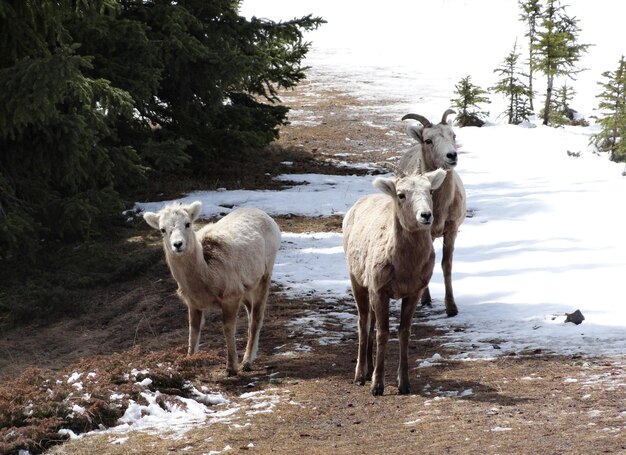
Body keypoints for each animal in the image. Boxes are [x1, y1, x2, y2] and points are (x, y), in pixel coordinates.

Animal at [143, 201, 280, 376]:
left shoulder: (231, 294)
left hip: (266, 274)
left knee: (257, 318)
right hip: (248, 286)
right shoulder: (192, 302)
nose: (177, 244)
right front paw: (188, 360)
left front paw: (231, 367)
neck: (206, 280)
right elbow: (193, 330)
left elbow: (228, 328)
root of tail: (270, 219)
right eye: (162, 229)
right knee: (251, 315)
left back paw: (247, 362)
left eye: (188, 224)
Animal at [342, 168, 448, 396]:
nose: (426, 215)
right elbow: (383, 333)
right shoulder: (380, 289)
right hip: (357, 279)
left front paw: (404, 384)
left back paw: (369, 369)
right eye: (401, 194)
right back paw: (360, 375)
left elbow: (404, 333)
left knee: (370, 320)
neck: (406, 270)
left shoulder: (414, 291)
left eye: (430, 191)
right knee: (363, 321)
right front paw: (377, 386)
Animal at [398, 109, 466, 318]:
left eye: (453, 135)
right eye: (428, 140)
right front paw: (425, 300)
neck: (440, 207)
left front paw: (451, 308)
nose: (452, 155)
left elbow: (446, 264)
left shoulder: (451, 230)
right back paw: (425, 299)